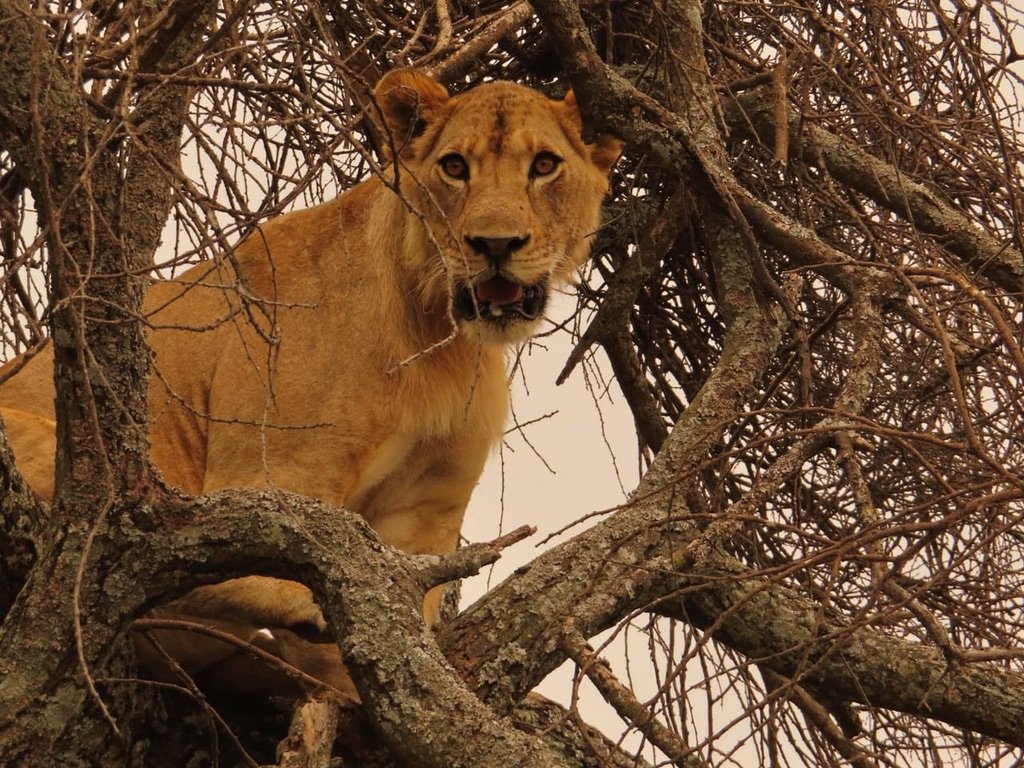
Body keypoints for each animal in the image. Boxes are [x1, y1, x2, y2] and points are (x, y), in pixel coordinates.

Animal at [0, 69, 620, 696]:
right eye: (454, 167)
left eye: (544, 165)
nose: (494, 245)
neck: (438, 336)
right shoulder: (280, 470)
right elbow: (295, 550)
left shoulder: (426, 507)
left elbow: (400, 609)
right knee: (135, 551)